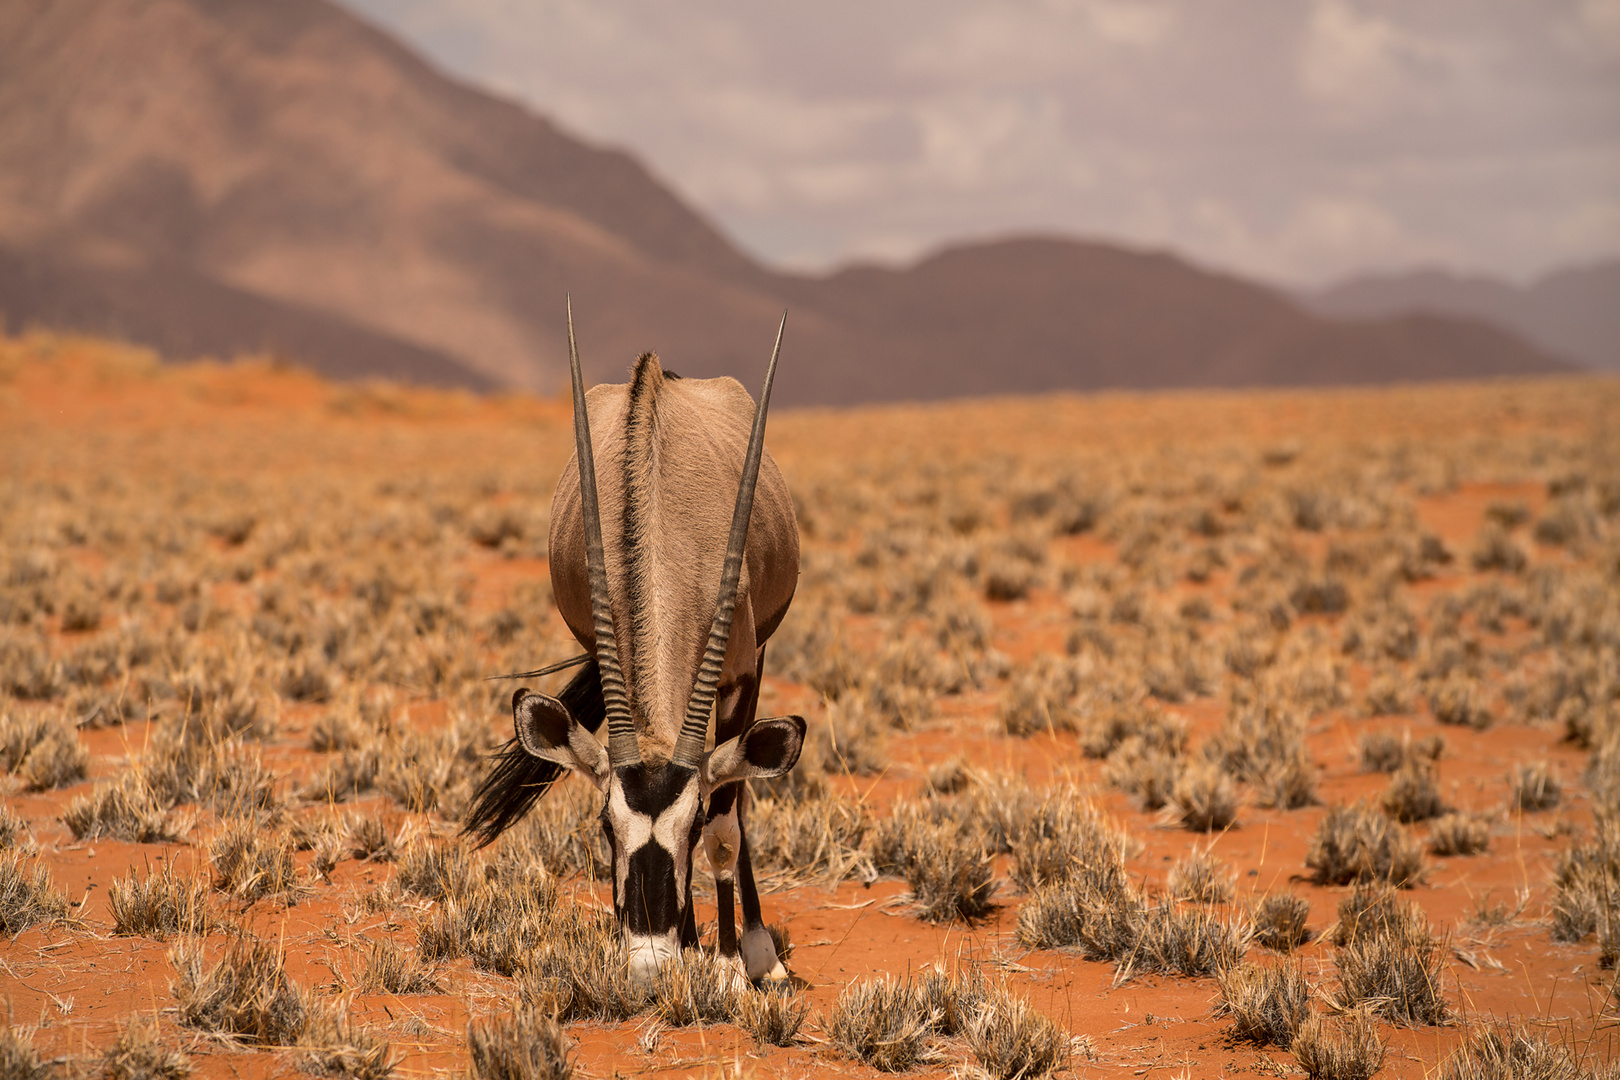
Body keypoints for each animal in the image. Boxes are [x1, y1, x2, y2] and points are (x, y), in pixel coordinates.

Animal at [463, 304, 803, 990]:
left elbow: (728, 820)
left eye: (690, 825)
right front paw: (694, 949)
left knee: (742, 792)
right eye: (604, 823)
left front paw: (733, 965)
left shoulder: (741, 678)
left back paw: (756, 950)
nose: (648, 965)